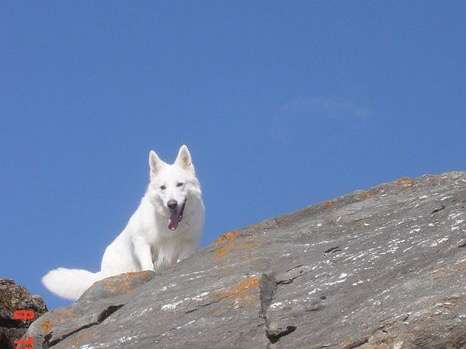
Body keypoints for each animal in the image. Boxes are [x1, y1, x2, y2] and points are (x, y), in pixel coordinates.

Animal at [41, 144, 204, 300]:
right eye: (163, 187)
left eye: (180, 184)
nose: (172, 204)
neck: (168, 228)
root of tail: (100, 273)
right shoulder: (141, 242)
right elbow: (148, 267)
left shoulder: (188, 244)